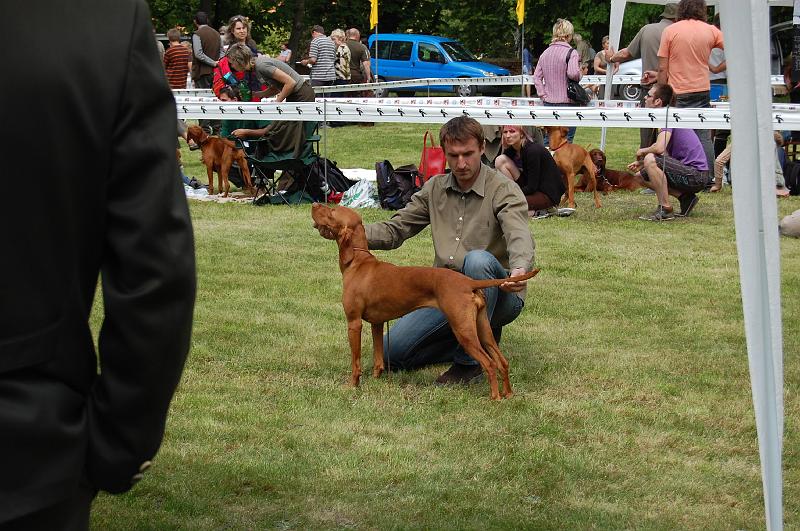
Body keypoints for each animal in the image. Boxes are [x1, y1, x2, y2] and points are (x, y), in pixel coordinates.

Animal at [310, 203, 540, 400]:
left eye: (332, 211)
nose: (313, 204)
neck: (358, 261)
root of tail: (468, 281)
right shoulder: (377, 323)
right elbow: (378, 358)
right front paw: (376, 380)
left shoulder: (354, 322)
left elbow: (355, 362)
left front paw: (352, 385)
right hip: (483, 329)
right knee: (502, 361)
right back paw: (508, 393)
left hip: (463, 330)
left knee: (489, 363)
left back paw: (495, 397)